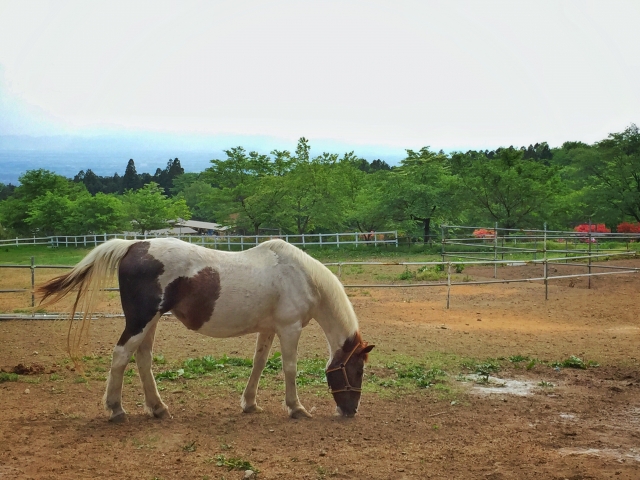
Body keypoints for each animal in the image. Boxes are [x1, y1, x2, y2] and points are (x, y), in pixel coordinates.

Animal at [37, 238, 372, 422]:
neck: (300, 275)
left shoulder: (268, 329)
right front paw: (296, 408)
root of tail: (134, 245)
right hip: (140, 320)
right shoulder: (289, 329)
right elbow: (290, 368)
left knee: (143, 359)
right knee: (120, 356)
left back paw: (157, 408)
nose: (351, 410)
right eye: (357, 371)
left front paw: (250, 403)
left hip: (151, 322)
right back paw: (116, 409)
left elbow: (259, 364)